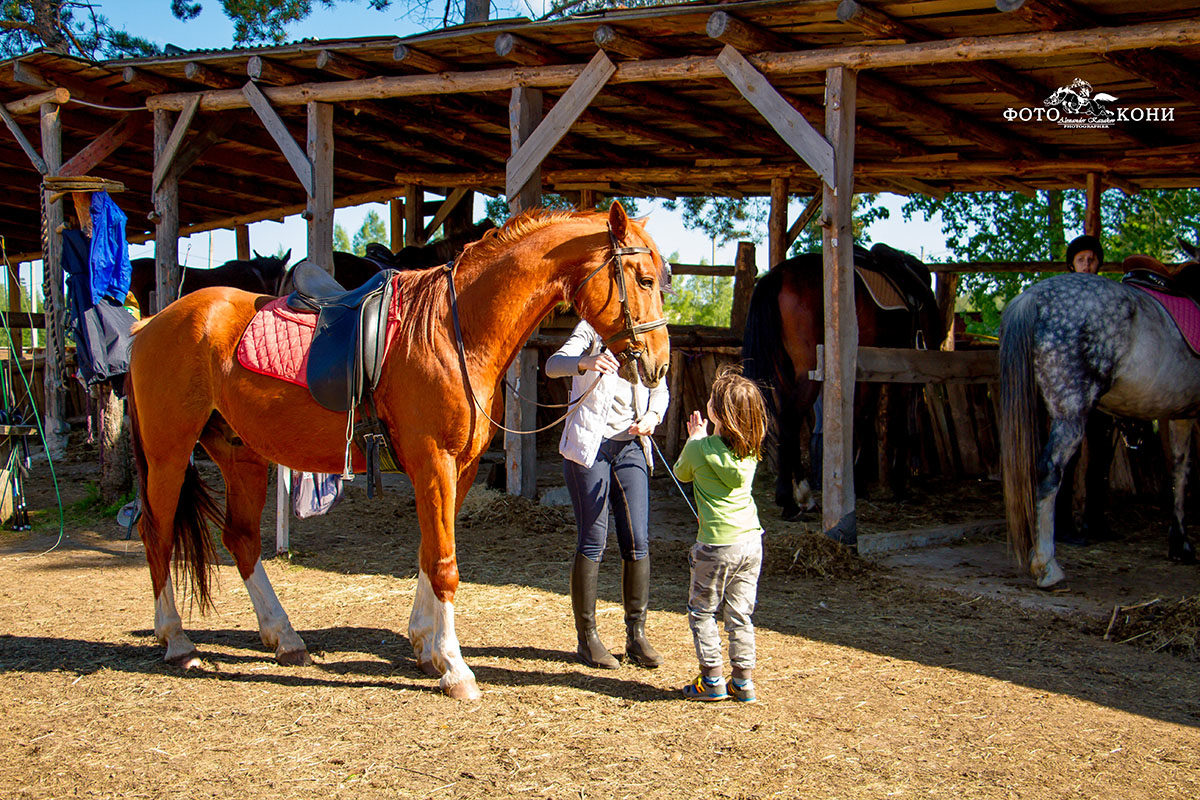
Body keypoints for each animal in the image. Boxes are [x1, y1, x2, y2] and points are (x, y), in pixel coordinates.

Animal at [739, 244, 945, 520]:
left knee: (784, 421)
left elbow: (864, 418)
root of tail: (779, 275)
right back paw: (793, 500)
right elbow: (892, 422)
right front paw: (892, 484)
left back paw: (799, 497)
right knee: (791, 419)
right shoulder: (902, 372)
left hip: (783, 373)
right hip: (807, 374)